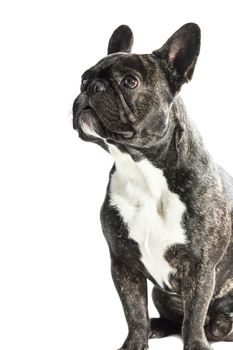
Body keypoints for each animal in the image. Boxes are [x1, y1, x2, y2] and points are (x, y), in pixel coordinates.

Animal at [72, 23, 232, 348]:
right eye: (83, 78)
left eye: (129, 82)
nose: (91, 88)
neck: (141, 171)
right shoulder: (123, 263)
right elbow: (134, 312)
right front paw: (135, 342)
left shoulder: (200, 268)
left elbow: (194, 317)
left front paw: (196, 344)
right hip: (162, 292)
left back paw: (220, 325)